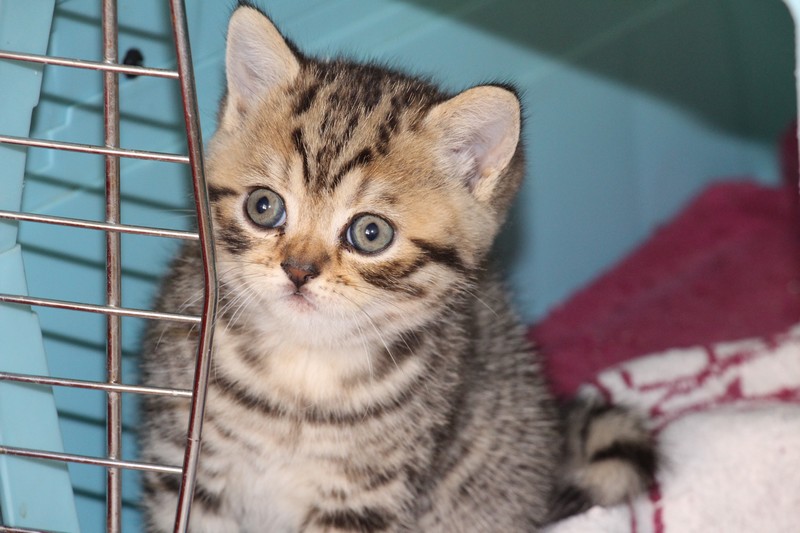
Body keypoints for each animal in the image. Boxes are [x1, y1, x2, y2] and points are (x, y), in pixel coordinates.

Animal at [141, 3, 656, 528]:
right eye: (264, 207)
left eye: (371, 233)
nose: (299, 270)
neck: (299, 376)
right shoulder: (185, 470)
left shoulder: (365, 498)